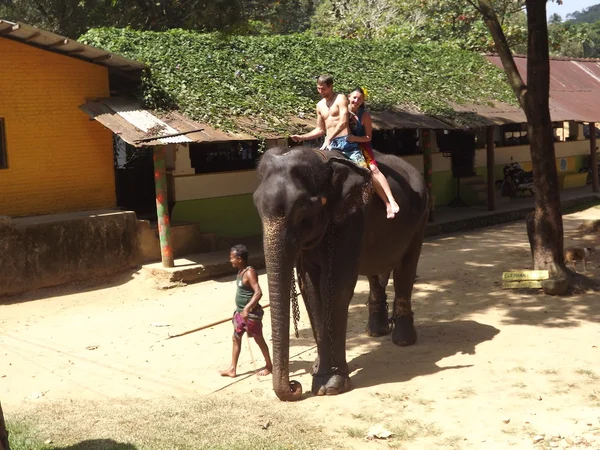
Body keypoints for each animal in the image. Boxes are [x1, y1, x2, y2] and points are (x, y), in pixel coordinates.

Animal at [252, 146, 426, 402]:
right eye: (256, 204)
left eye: (302, 206)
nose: (295, 386)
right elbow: (311, 291)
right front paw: (318, 372)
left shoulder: (352, 218)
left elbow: (336, 288)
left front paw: (330, 386)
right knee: (375, 274)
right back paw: (375, 333)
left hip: (420, 219)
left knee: (406, 268)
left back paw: (403, 341)